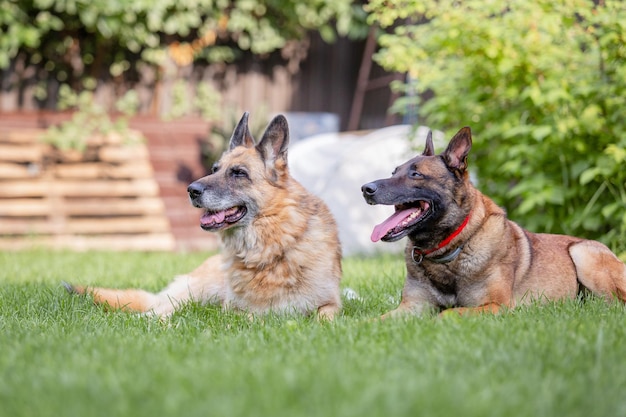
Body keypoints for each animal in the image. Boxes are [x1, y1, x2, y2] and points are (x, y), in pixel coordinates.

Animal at [66, 112, 342, 316]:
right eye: (214, 169)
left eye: (238, 173)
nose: (191, 190)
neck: (275, 247)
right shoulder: (234, 312)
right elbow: (251, 316)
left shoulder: (331, 305)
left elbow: (324, 317)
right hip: (193, 294)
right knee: (158, 312)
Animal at [360, 127, 624, 316]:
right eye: (394, 172)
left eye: (416, 174)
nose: (365, 189)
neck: (451, 248)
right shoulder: (411, 307)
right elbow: (375, 320)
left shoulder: (497, 306)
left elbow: (447, 313)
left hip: (583, 254)